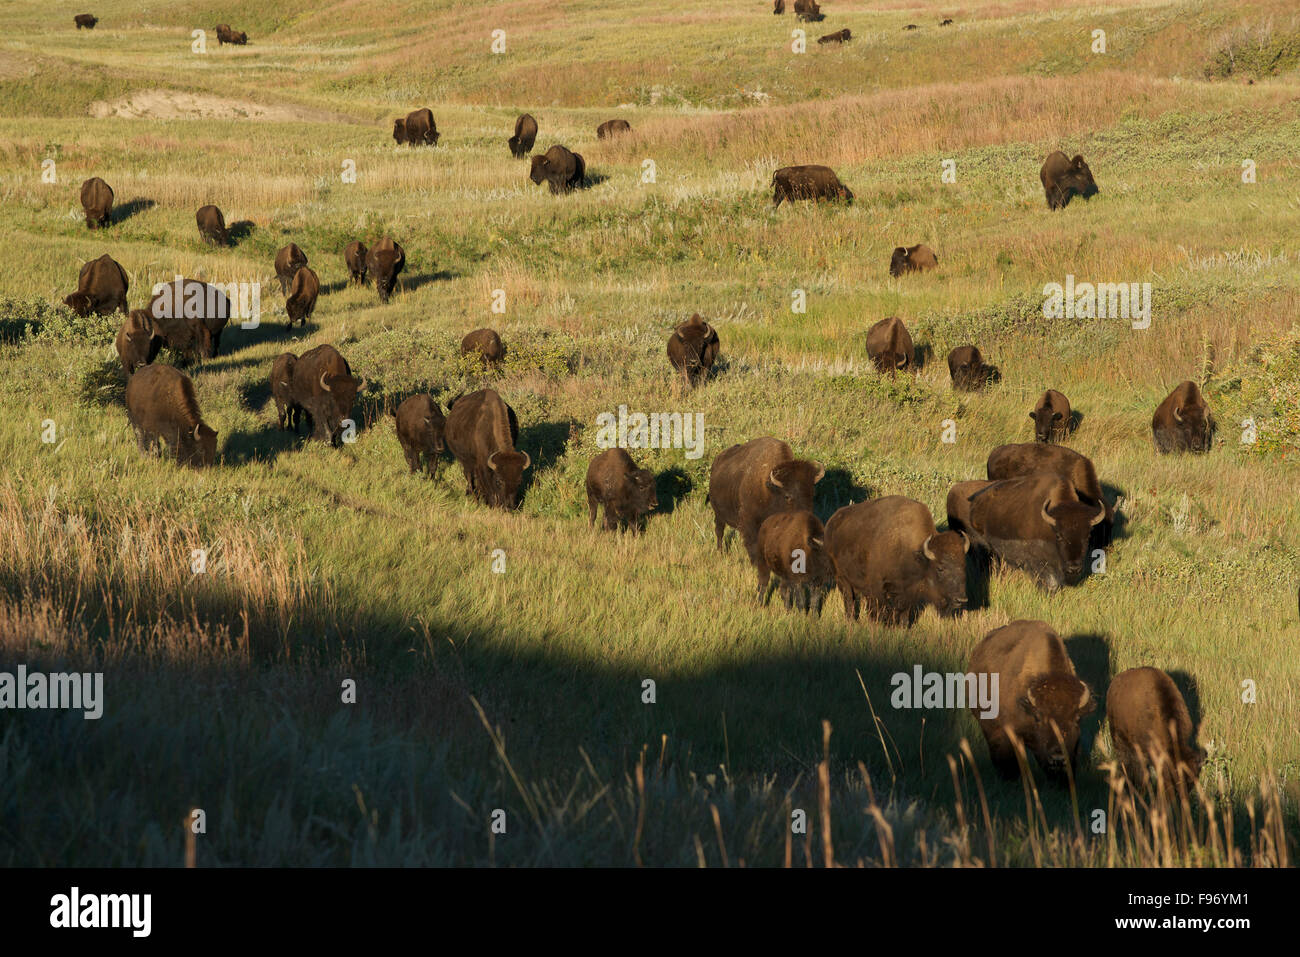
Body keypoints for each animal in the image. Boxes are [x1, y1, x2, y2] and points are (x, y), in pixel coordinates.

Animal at [709, 437, 823, 567]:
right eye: (787, 496)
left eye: (812, 494)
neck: (770, 489)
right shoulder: (749, 524)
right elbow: (752, 545)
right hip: (718, 514)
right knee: (719, 531)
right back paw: (720, 553)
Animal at [825, 496, 969, 624]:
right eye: (940, 568)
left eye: (963, 566)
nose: (961, 599)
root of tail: (832, 521)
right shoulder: (877, 588)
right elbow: (878, 611)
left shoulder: (908, 592)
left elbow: (903, 613)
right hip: (841, 578)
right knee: (849, 599)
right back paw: (850, 621)